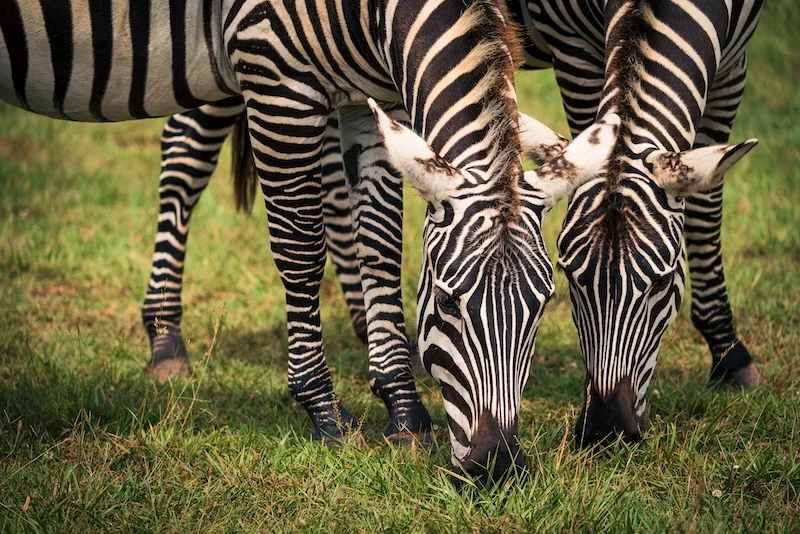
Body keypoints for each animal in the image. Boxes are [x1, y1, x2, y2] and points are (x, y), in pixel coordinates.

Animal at [0, 0, 621, 482]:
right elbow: (299, 248)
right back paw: (166, 342)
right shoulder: (274, 78)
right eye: (446, 302)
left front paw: (403, 411)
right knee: (185, 148)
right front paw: (324, 410)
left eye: (544, 304)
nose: (497, 466)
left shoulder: (374, 99)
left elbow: (381, 244)